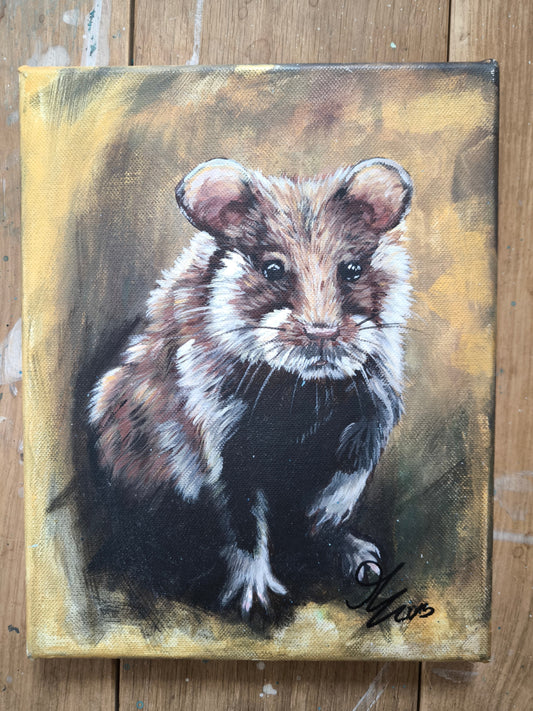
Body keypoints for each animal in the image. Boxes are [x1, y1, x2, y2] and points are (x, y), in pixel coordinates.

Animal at [88, 157, 413, 621]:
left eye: (352, 269)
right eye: (272, 269)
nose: (322, 334)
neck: (303, 392)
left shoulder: (373, 411)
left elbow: (345, 482)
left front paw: (340, 534)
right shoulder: (220, 441)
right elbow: (243, 523)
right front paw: (255, 599)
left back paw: (361, 560)